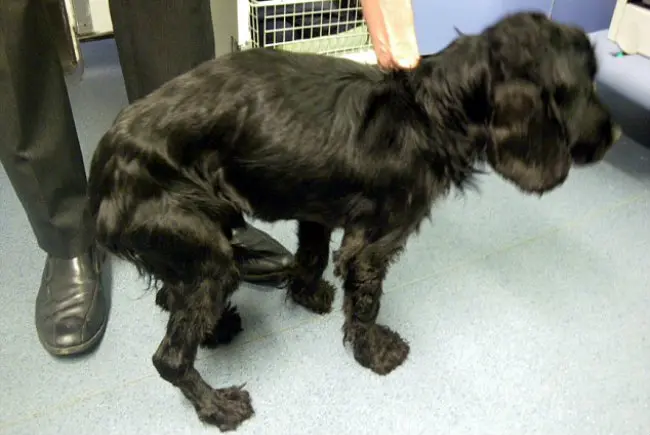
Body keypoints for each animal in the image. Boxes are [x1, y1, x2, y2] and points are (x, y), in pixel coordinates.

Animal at [86, 11, 616, 432]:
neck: (428, 111)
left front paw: (306, 294)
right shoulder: (372, 244)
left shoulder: (315, 208)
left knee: (172, 298)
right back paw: (218, 406)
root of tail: (103, 168)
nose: (615, 135)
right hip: (204, 250)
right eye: (584, 86)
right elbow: (366, 305)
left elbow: (312, 255)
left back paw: (217, 329)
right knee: (169, 357)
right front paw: (375, 353)